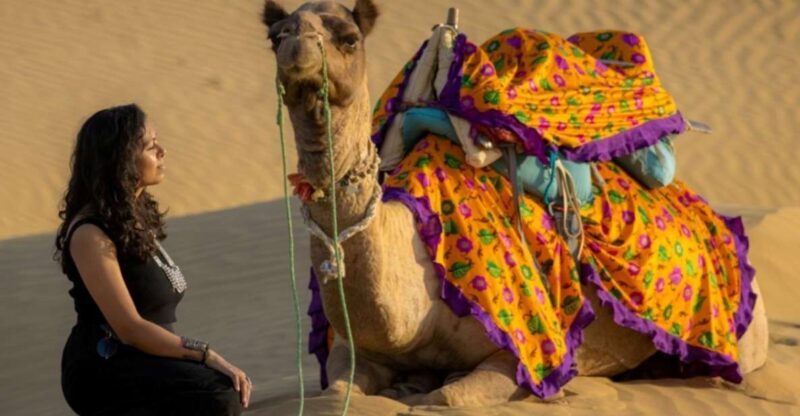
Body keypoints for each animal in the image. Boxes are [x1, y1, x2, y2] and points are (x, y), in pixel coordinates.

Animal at [262, 0, 769, 407]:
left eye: (348, 38)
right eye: (275, 35)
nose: (296, 46)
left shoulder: (521, 348)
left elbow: (448, 398)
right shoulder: (356, 351)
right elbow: (336, 391)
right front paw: (407, 383)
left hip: (745, 332)